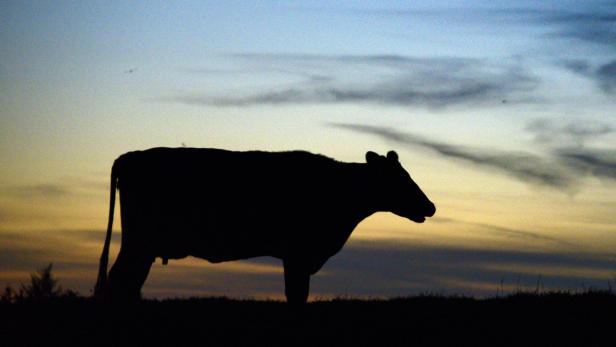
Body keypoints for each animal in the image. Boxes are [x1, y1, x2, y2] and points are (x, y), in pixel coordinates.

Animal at [94, 148, 436, 306]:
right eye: (400, 179)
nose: (431, 207)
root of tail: (130, 156)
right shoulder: (298, 255)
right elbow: (296, 295)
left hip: (144, 247)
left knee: (128, 284)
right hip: (139, 243)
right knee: (119, 281)